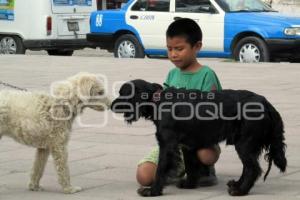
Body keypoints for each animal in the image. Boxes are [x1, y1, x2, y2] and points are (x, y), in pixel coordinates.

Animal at [111, 79, 288, 196]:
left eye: (123, 94)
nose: (111, 105)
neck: (158, 101)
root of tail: (266, 103)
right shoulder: (188, 146)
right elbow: (190, 166)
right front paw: (189, 184)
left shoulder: (167, 145)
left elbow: (161, 169)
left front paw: (153, 191)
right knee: (248, 167)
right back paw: (236, 185)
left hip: (244, 143)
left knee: (253, 168)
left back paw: (240, 191)